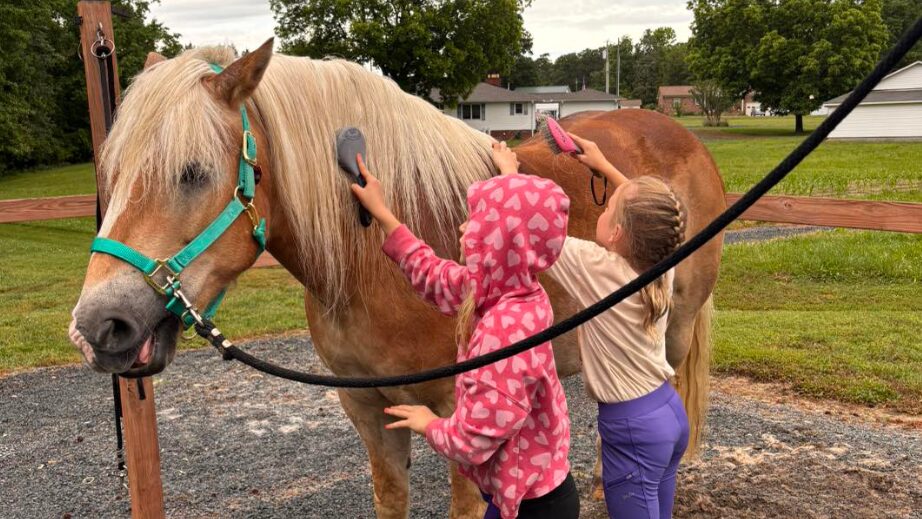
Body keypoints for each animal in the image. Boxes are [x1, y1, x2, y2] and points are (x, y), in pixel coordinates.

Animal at [69, 40, 724, 518]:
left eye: (194, 172)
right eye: (112, 172)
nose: (98, 326)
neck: (368, 265)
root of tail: (680, 136)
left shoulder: (461, 415)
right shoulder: (367, 409)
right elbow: (391, 498)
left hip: (674, 331)